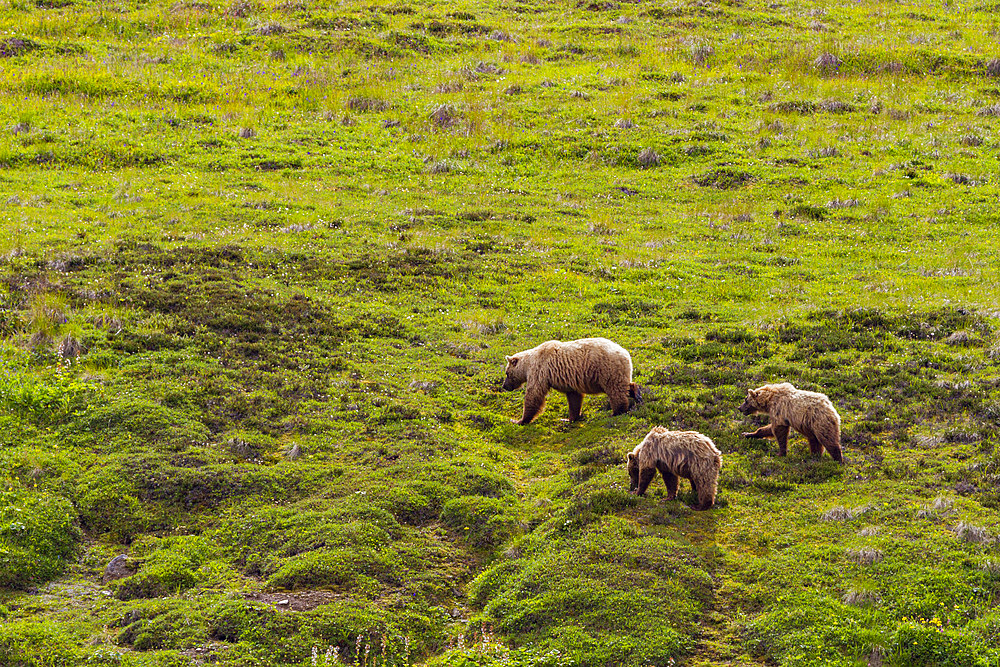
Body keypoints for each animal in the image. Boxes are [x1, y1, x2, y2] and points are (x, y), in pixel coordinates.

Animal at [500, 336, 640, 426]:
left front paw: (519, 420)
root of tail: (625, 353)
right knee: (624, 386)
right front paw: (568, 419)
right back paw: (637, 393)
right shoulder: (570, 381)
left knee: (615, 391)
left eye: (507, 373)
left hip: (607, 369)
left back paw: (616, 412)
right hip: (617, 371)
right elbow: (574, 398)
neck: (528, 365)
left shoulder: (539, 371)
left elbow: (534, 394)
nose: (504, 386)